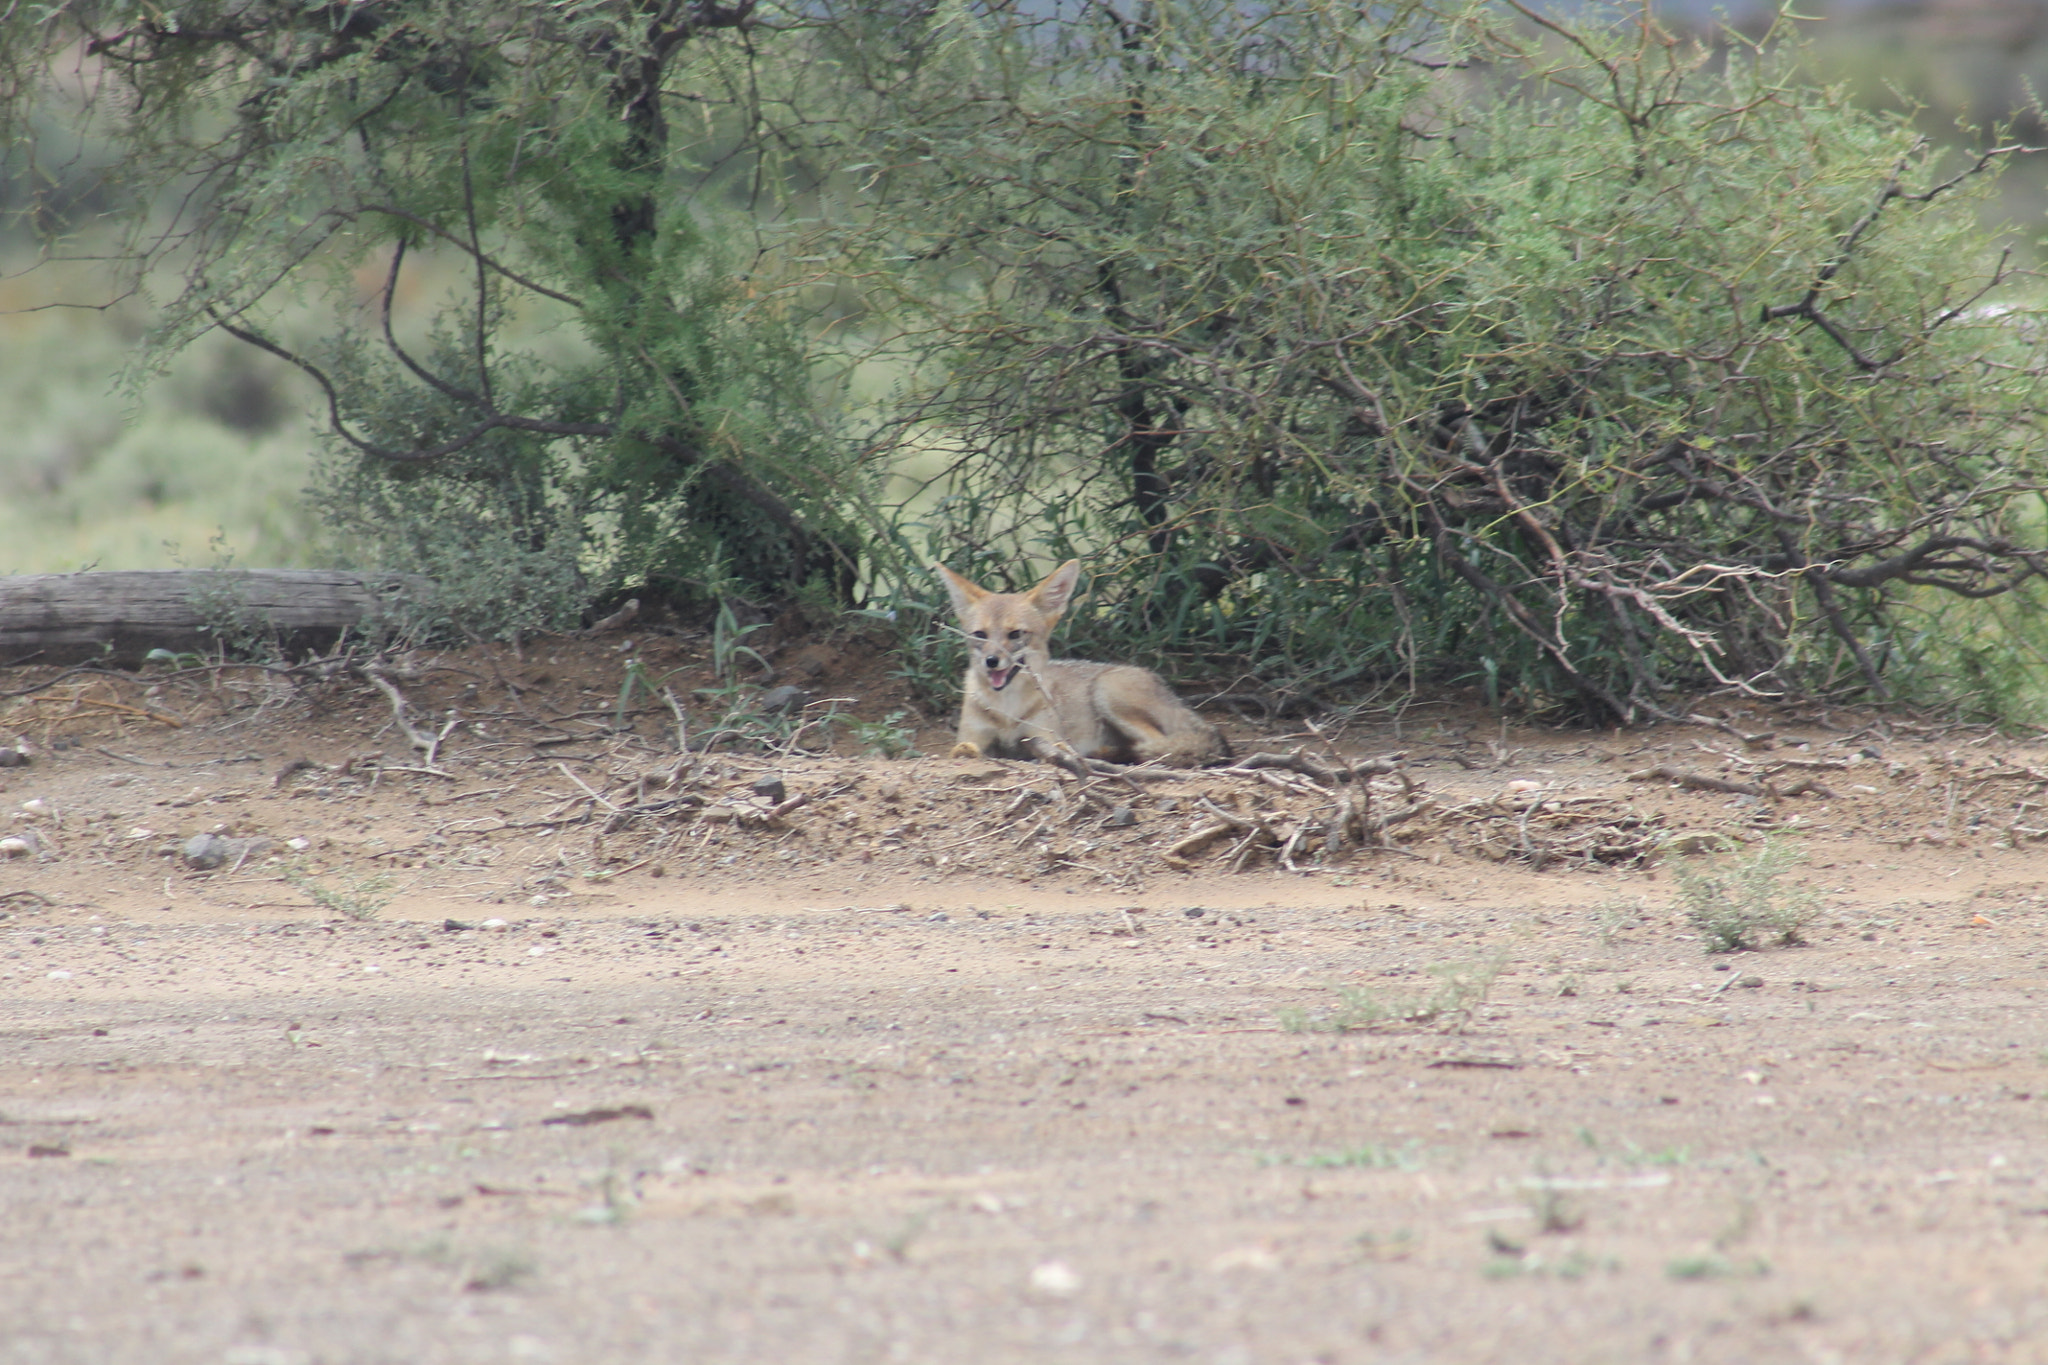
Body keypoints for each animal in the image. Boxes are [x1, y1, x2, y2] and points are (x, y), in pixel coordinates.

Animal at [936, 559, 1228, 768]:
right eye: (980, 635)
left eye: (1016, 634)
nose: (991, 661)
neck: (1007, 711)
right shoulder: (974, 736)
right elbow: (961, 749)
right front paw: (967, 753)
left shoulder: (1045, 737)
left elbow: (1050, 751)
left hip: (1107, 693)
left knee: (1160, 746)